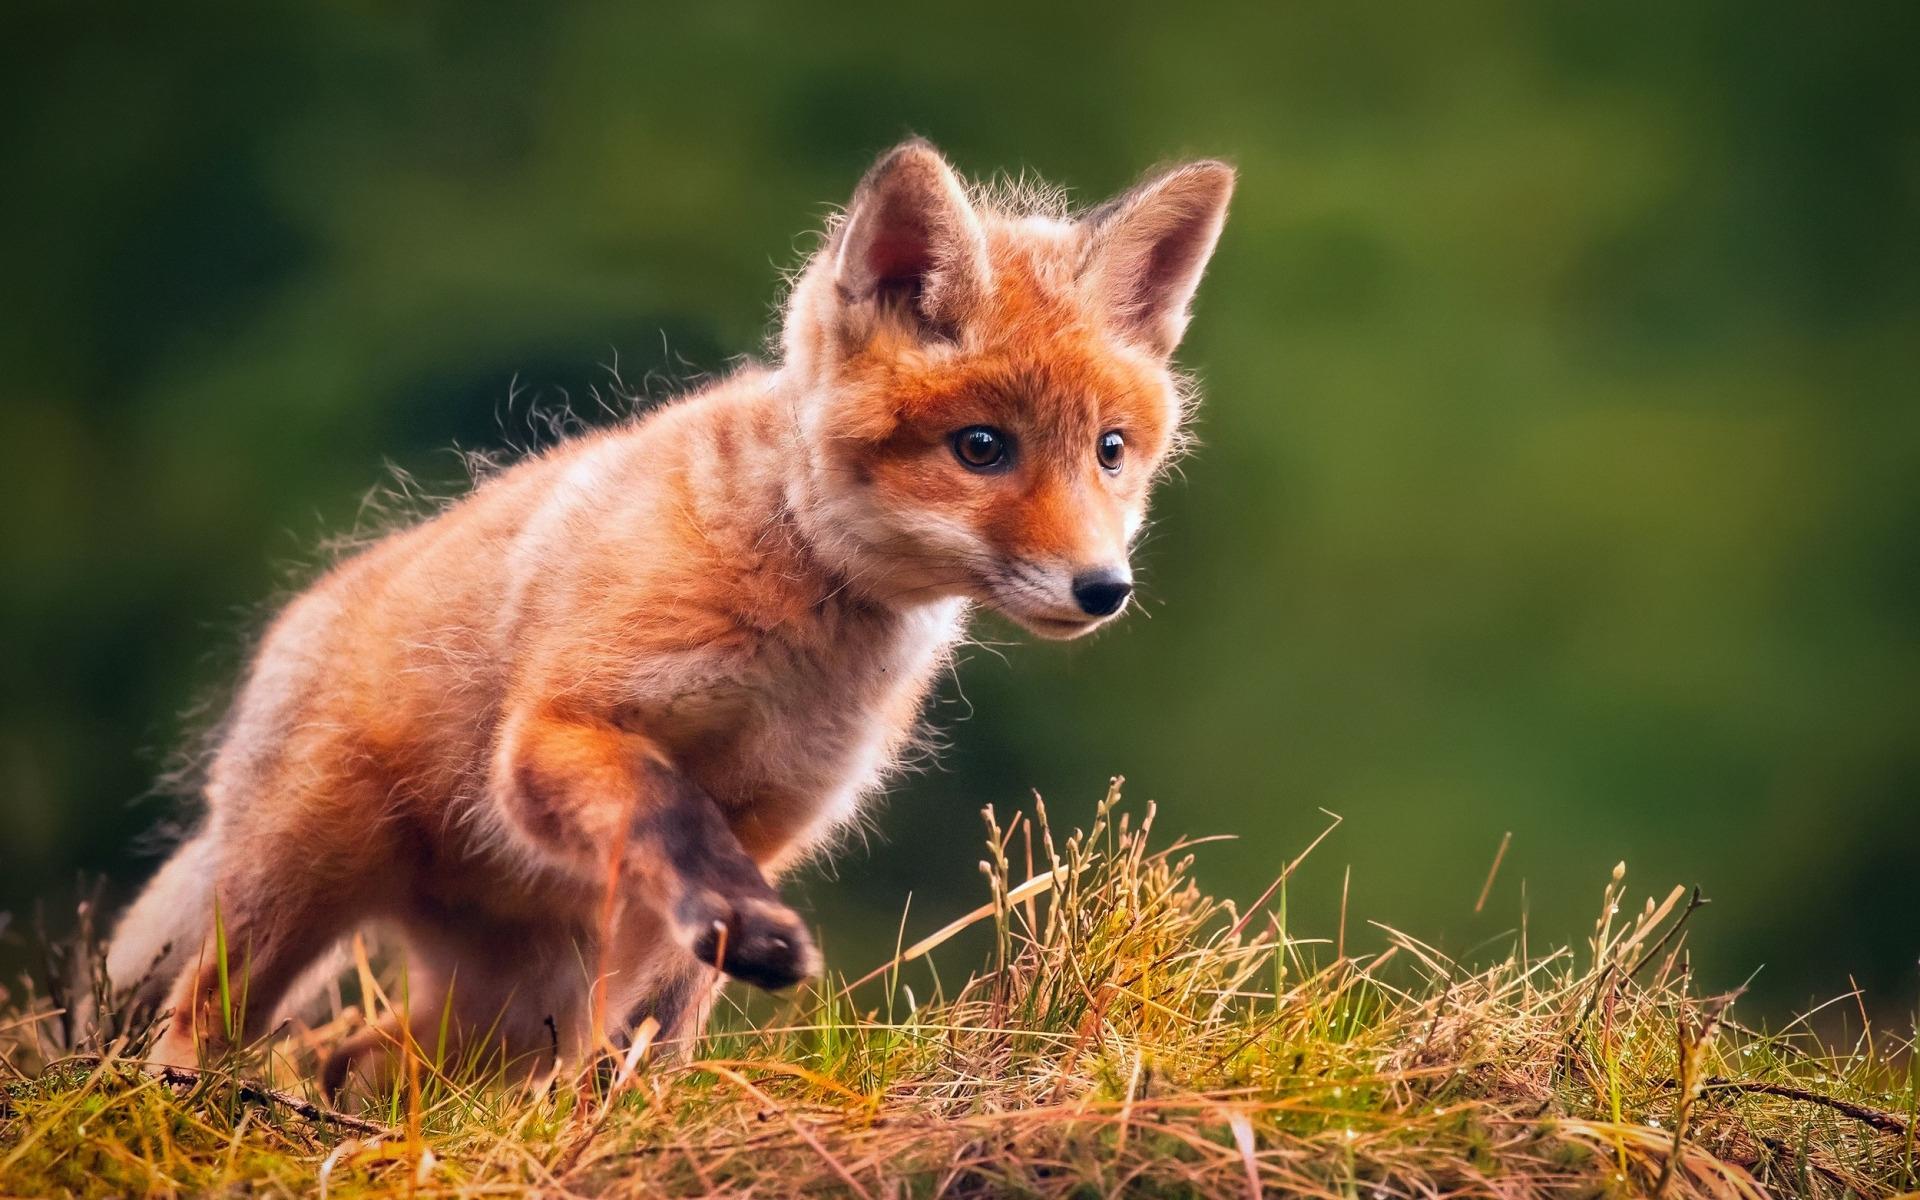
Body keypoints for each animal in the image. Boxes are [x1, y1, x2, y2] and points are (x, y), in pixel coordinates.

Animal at [105, 140, 1236, 1082]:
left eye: (1111, 450)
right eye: (983, 448)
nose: (1104, 588)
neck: (798, 642)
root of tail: (297, 623)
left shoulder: (772, 818)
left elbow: (661, 1018)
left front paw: (632, 1111)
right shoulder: (558, 734)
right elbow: (668, 808)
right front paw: (747, 934)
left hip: (510, 1012)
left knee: (362, 1060)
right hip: (299, 889)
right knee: (201, 1022)